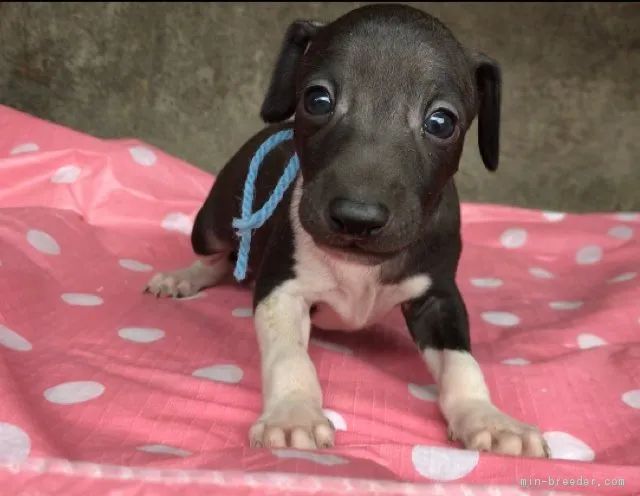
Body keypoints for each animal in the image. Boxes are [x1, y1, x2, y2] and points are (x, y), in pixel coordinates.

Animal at [144, 3, 552, 460]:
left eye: (441, 122)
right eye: (317, 99)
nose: (357, 217)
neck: (360, 265)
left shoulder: (439, 296)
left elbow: (463, 363)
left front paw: (489, 419)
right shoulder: (282, 288)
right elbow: (290, 355)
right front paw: (293, 414)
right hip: (211, 222)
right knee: (220, 252)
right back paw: (181, 277)